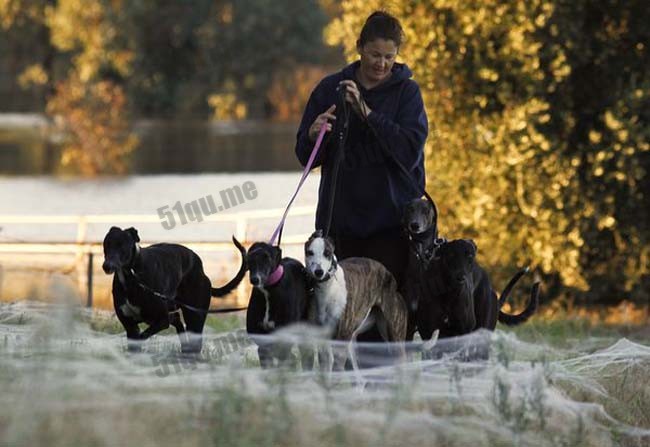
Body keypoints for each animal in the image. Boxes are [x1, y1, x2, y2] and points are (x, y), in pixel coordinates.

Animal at [104, 228, 246, 354]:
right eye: (106, 244)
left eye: (122, 246)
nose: (107, 266)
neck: (132, 276)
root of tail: (202, 271)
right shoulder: (130, 325)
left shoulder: (162, 319)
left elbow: (142, 336)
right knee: (179, 325)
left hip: (195, 316)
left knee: (194, 340)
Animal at [302, 231, 404, 372]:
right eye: (309, 252)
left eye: (327, 253)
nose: (318, 272)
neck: (328, 288)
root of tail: (389, 274)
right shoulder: (322, 337)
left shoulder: (342, 336)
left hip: (394, 335)